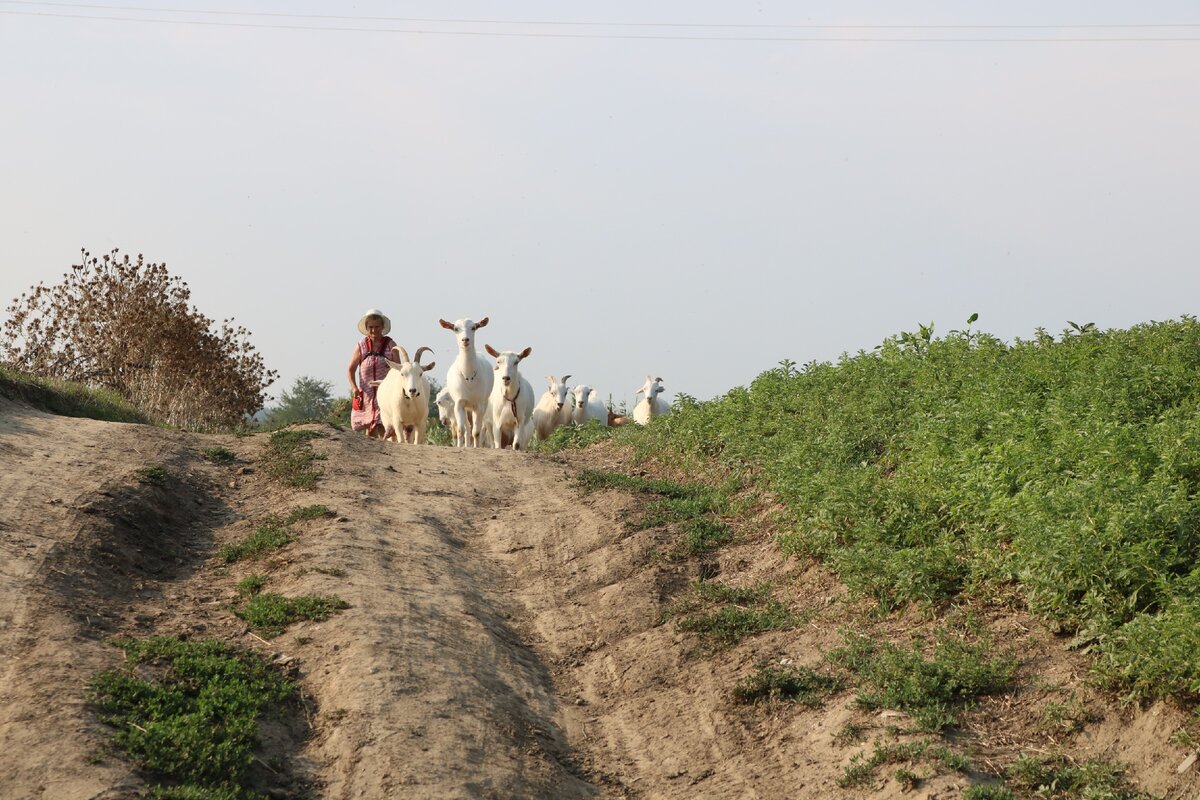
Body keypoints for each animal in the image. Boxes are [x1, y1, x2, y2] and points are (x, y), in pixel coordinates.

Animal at [439, 316, 494, 448]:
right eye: (455, 328)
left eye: (474, 327)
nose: (465, 339)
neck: (469, 377)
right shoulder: (459, 403)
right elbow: (461, 429)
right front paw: (460, 446)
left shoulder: (479, 404)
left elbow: (477, 431)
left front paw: (476, 447)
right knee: (467, 427)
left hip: (482, 404)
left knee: (477, 427)